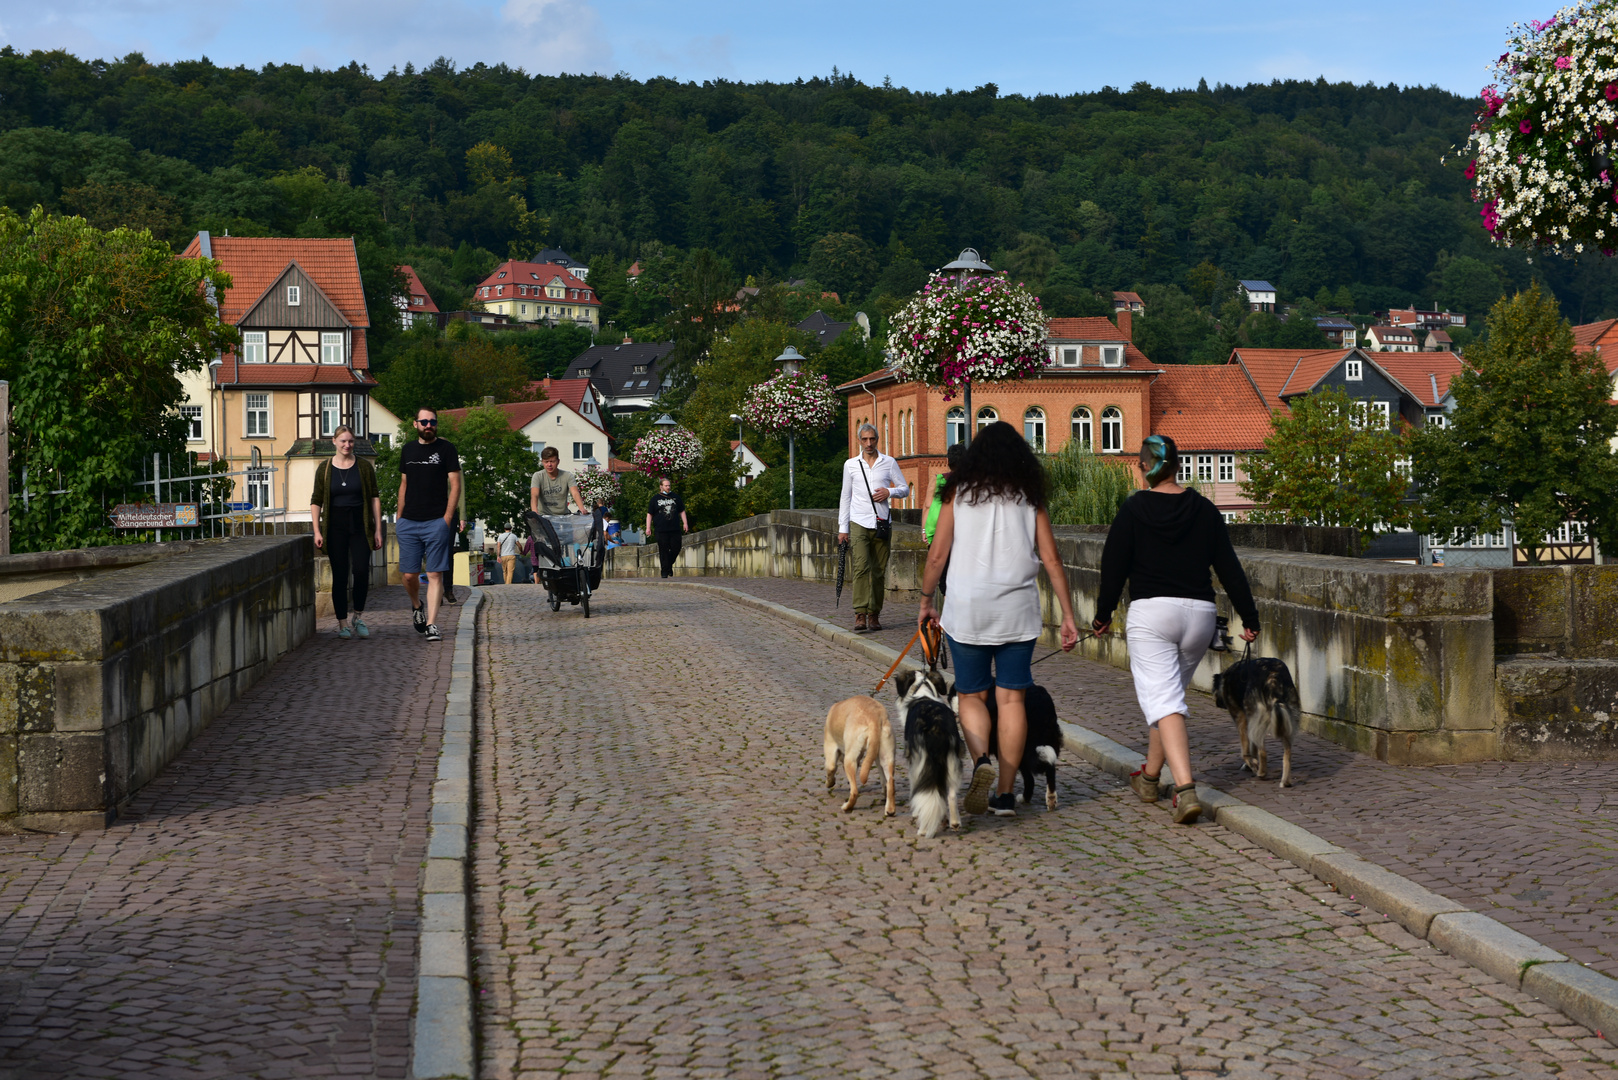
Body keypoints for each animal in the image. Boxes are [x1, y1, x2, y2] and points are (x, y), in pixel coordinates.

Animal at [899, 670, 957, 841]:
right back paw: (954, 822)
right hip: (953, 761)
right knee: (950, 794)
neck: (923, 692)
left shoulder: (913, 762)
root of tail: (936, 727)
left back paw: (924, 829)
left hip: (922, 760)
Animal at [1216, 654, 1300, 790]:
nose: (1218, 703)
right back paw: (1285, 781)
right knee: (1287, 753)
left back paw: (1261, 772)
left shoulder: (1242, 719)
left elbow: (1245, 750)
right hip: (1287, 720)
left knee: (1263, 750)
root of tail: (1273, 676)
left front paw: (1251, 764)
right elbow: (1252, 747)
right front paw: (1250, 764)